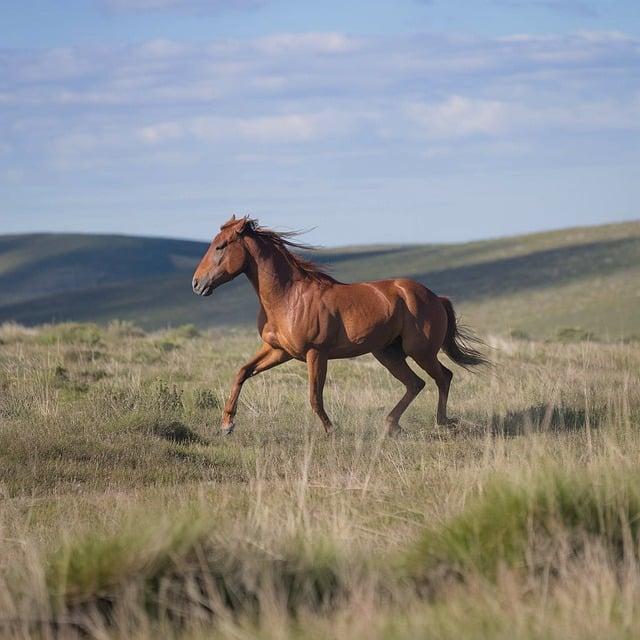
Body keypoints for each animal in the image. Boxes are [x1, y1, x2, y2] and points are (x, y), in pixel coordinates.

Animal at [192, 215, 488, 436]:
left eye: (221, 246)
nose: (196, 284)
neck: (288, 297)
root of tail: (436, 297)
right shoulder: (279, 351)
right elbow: (241, 372)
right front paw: (227, 424)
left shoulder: (316, 354)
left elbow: (315, 397)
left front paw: (331, 430)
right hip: (388, 354)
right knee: (416, 384)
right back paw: (391, 426)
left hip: (420, 352)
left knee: (443, 377)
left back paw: (442, 422)